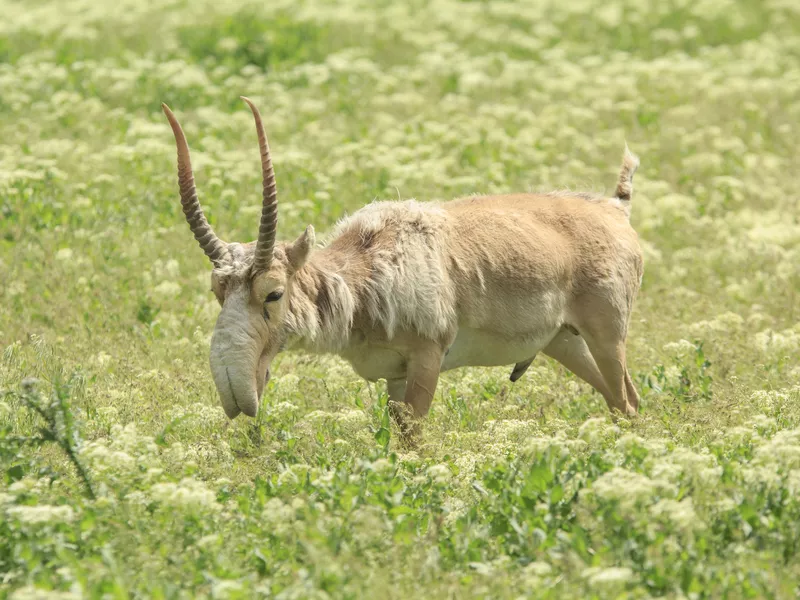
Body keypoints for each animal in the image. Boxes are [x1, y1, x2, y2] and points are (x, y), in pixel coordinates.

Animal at [162, 96, 644, 438]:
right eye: (218, 291)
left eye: (273, 292)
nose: (238, 390)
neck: (367, 269)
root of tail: (615, 209)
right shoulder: (393, 376)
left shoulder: (426, 359)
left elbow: (414, 439)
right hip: (564, 342)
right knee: (626, 402)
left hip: (606, 338)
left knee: (626, 401)